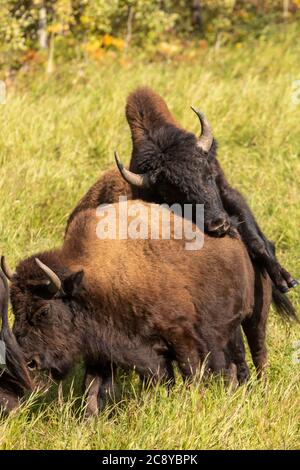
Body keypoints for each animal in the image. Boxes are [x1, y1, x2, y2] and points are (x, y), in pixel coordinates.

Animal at [1, 200, 272, 414]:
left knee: (258, 353)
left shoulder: (181, 337)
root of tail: (242, 244)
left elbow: (191, 375)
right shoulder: (103, 350)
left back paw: (261, 386)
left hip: (254, 318)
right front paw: (89, 422)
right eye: (15, 310)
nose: (29, 361)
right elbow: (92, 388)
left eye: (44, 310)